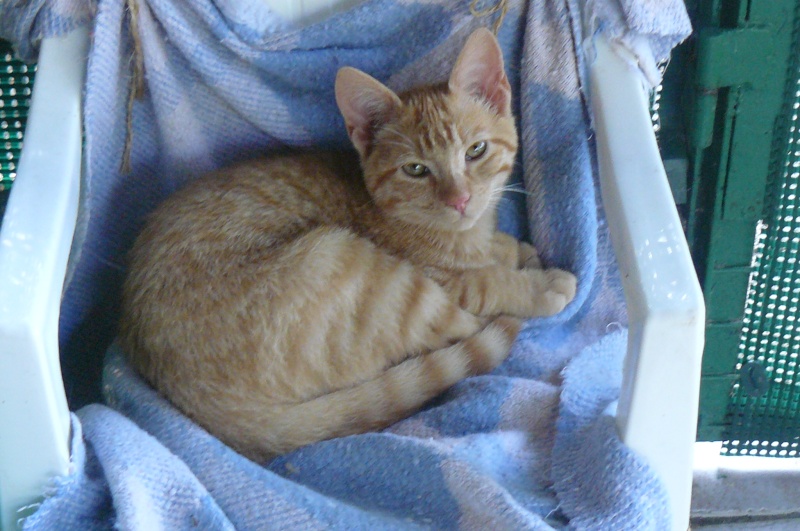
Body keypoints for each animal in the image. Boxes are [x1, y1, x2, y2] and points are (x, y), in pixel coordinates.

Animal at [120, 29, 576, 462]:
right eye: (415, 170)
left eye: (476, 150)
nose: (459, 200)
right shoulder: (448, 281)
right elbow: (488, 281)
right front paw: (537, 282)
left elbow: (492, 251)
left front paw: (512, 249)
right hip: (356, 266)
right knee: (462, 327)